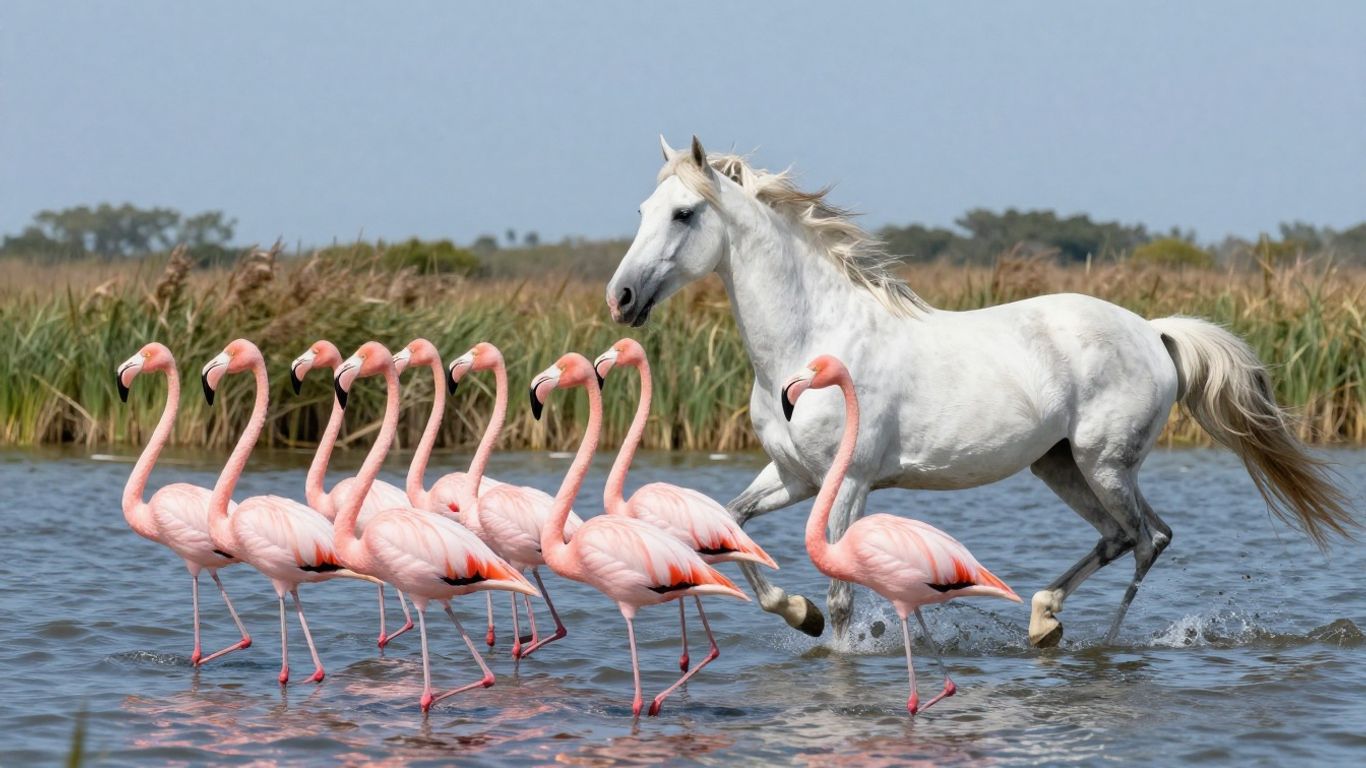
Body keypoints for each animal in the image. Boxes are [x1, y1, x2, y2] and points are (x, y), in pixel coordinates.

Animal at [604, 135, 1356, 647]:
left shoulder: (848, 484)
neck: (811, 342)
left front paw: (834, 650)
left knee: (1147, 538)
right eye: (641, 209)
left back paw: (1084, 637)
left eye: (683, 214)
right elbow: (729, 530)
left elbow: (843, 594)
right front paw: (799, 614)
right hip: (1061, 464)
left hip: (1104, 461)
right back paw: (1045, 622)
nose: (622, 298)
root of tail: (1152, 329)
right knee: (1129, 536)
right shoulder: (792, 475)